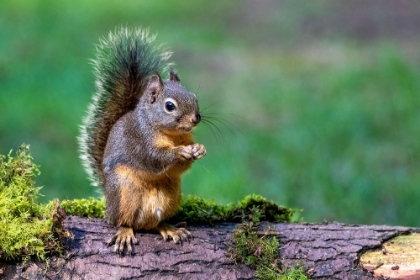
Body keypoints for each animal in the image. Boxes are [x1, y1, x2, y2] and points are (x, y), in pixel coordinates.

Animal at [79, 27, 207, 254]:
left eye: (194, 97)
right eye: (170, 106)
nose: (196, 118)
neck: (172, 134)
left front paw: (198, 149)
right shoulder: (140, 139)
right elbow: (154, 158)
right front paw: (179, 152)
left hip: (171, 197)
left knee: (155, 224)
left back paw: (169, 227)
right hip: (123, 195)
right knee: (123, 221)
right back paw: (124, 232)